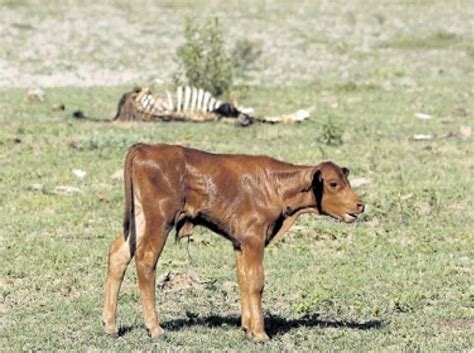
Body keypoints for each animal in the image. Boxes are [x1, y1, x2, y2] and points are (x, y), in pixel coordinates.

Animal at [102, 143, 364, 340]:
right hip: (159, 219)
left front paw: (248, 329)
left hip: (140, 218)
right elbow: (256, 282)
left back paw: (111, 326)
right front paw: (260, 334)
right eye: (333, 184)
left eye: (346, 181)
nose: (360, 205)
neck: (276, 186)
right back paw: (155, 329)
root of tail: (146, 148)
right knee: (146, 259)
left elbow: (244, 280)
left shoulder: (240, 243)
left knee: (118, 254)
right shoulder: (254, 239)